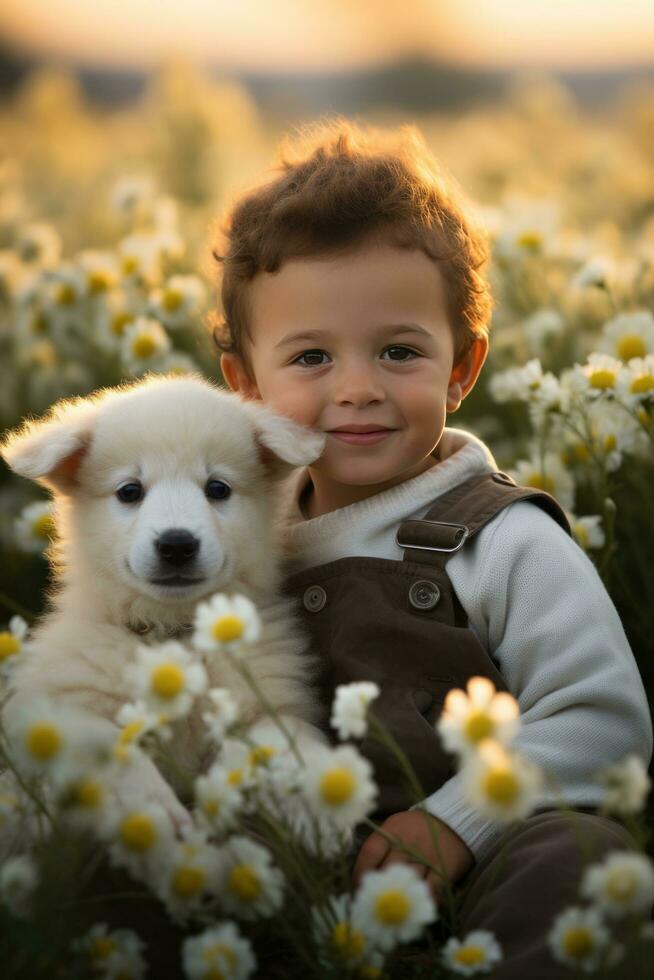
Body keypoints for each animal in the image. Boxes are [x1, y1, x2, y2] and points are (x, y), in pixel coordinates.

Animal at [0, 372, 328, 824]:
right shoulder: (55, 713)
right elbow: (110, 743)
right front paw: (155, 812)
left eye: (218, 488)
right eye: (129, 491)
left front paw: (316, 799)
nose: (177, 545)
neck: (172, 632)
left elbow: (283, 736)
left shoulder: (264, 701)